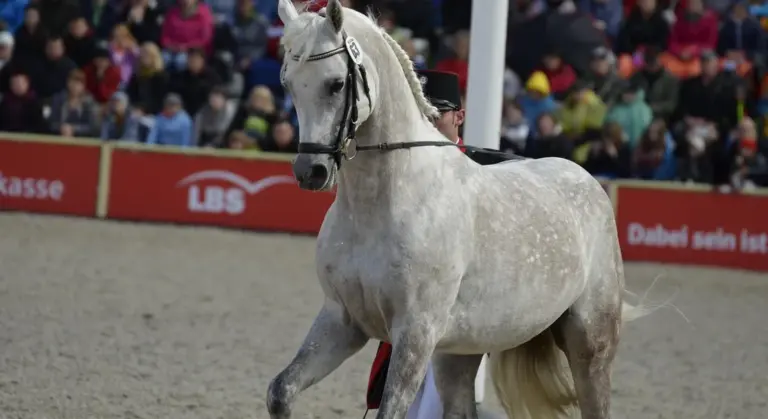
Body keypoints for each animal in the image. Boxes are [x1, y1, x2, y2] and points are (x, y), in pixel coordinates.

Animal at [267, 1, 647, 418]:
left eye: (336, 83)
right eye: (287, 84)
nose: (310, 172)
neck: (381, 206)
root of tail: (585, 178)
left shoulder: (415, 334)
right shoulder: (342, 320)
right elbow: (280, 391)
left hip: (591, 342)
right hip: (459, 351)